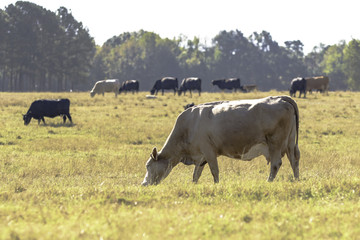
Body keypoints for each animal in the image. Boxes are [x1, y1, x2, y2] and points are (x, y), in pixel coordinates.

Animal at [142, 95, 300, 186]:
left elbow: (214, 171)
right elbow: (196, 174)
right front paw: (193, 185)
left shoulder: (209, 151)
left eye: (148, 166)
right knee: (294, 160)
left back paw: (269, 181)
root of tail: (280, 98)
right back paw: (296, 180)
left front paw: (216, 186)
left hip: (275, 143)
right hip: (290, 143)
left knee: (276, 164)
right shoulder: (201, 157)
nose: (144, 184)